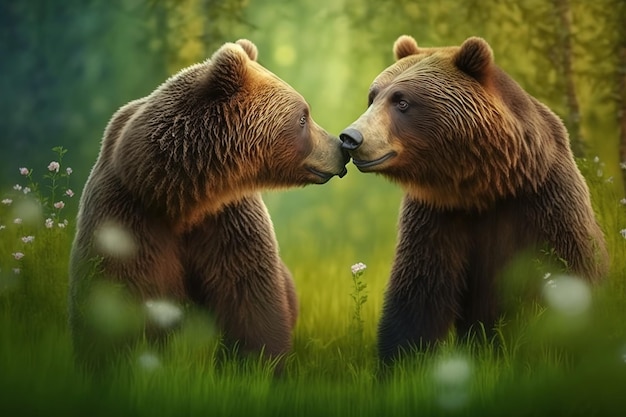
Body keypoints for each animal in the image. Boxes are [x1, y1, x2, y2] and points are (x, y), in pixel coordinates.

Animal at [72, 39, 352, 368]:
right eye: (303, 117)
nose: (342, 148)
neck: (179, 198)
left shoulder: (227, 218)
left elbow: (249, 292)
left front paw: (257, 364)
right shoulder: (129, 216)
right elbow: (122, 293)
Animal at [338, 35, 608, 364]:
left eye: (402, 101)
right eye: (373, 97)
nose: (351, 138)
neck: (488, 187)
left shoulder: (546, 199)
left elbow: (572, 266)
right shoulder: (437, 214)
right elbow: (419, 291)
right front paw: (403, 361)